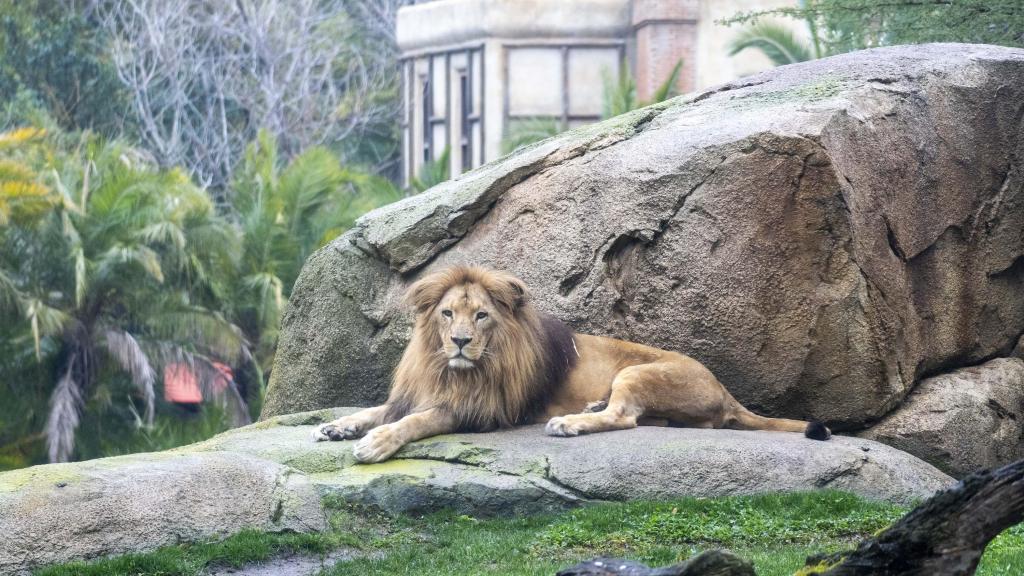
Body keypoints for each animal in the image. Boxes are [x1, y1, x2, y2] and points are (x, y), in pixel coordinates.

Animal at [312, 266, 831, 463]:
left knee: (624, 417)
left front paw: (375, 443)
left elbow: (416, 421)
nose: (459, 342)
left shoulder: (480, 410)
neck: (452, 369)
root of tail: (725, 392)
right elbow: (378, 410)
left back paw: (570, 423)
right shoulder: (416, 390)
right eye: (446, 314)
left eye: (480, 315)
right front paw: (338, 427)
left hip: (637, 370)